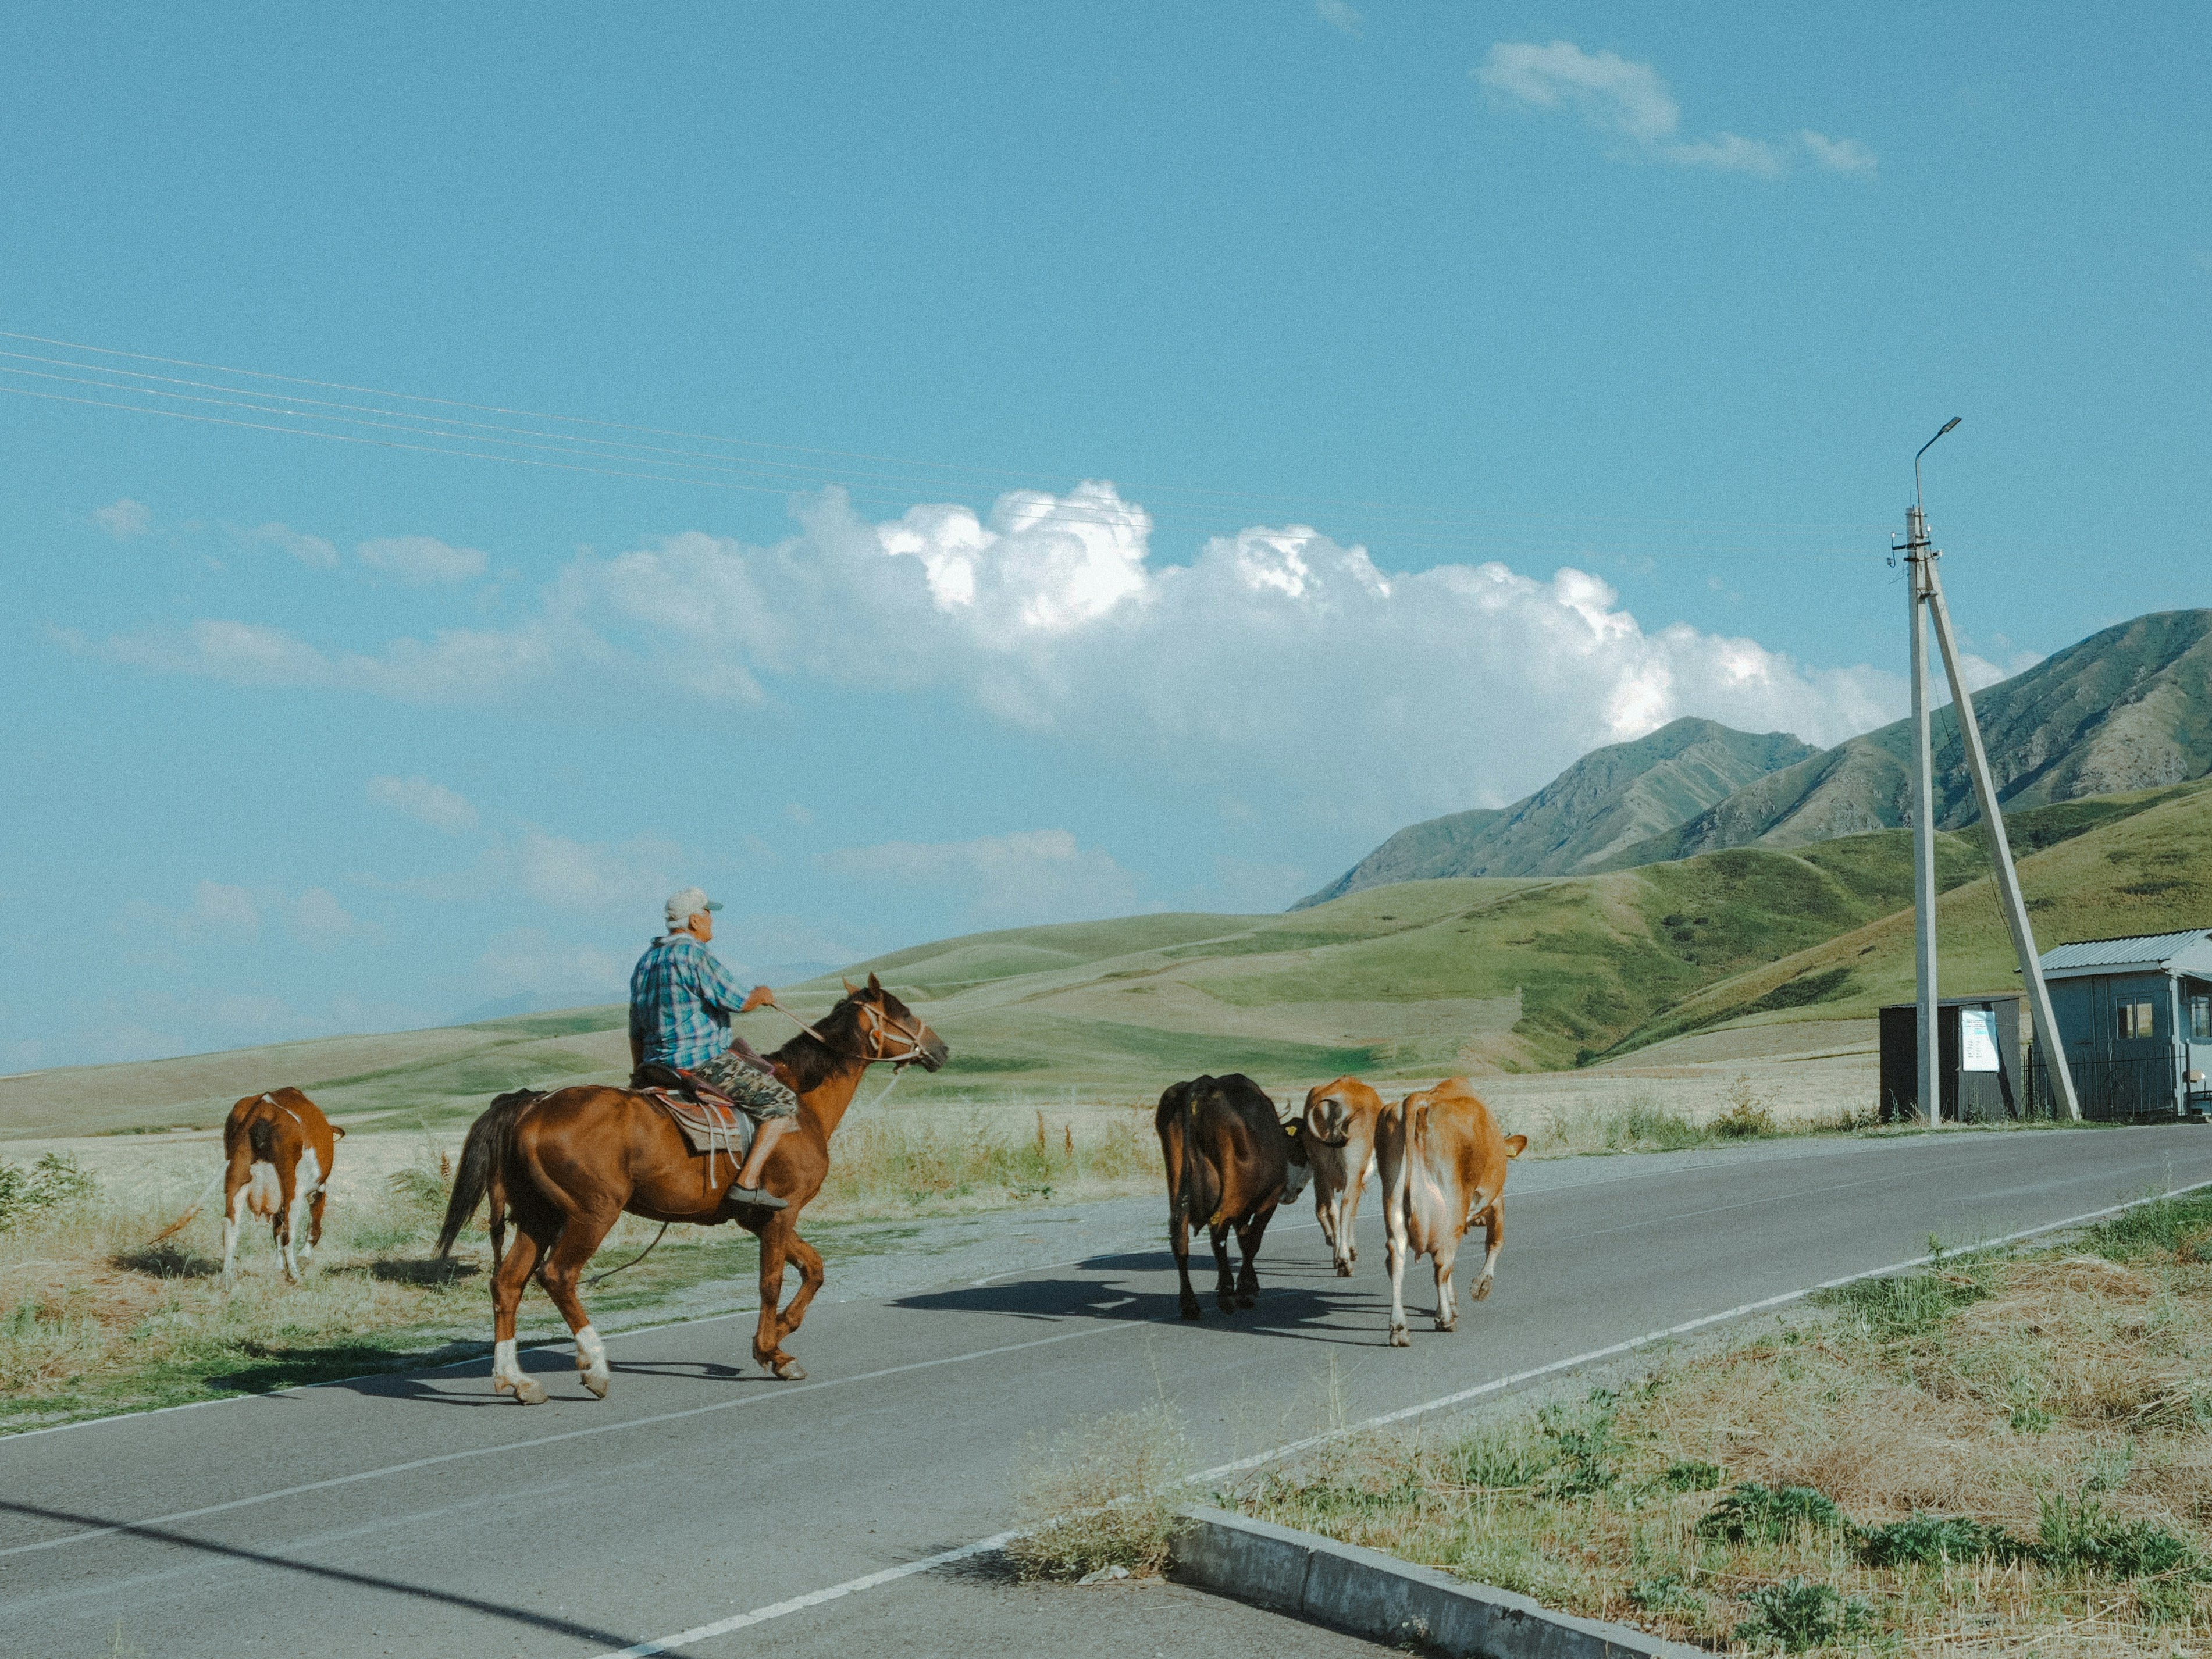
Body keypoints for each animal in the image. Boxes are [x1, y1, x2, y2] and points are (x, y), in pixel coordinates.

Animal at [221, 1087, 344, 1287]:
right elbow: (313, 1229)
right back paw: (295, 1276)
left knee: (230, 1229)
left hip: (236, 1179)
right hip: (293, 1190)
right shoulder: (318, 1190)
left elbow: (276, 1231)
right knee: (289, 1233)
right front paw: (304, 1257)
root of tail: (265, 1105)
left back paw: (226, 1280)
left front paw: (278, 1267)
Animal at [1156, 1074, 1311, 1320]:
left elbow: (1243, 1237)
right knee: (1218, 1230)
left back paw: (1189, 1304)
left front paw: (1251, 1284)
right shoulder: (1267, 1201)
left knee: (1180, 1235)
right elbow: (1252, 1242)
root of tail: (1203, 1085)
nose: (1295, 1190)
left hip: (1178, 1181)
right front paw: (1245, 1289)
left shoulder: (1243, 1209)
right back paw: (1226, 1294)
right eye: (1302, 1149)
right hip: (1231, 1196)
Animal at [1301, 1075, 1385, 1278]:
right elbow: (1353, 1211)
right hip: (1353, 1172)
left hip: (1322, 1173)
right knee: (1346, 1206)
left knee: (1332, 1210)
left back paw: (1339, 1257)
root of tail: (1335, 1102)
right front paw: (1352, 1250)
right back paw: (1345, 1262)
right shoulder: (1359, 1177)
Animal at [1377, 1077, 1525, 1346]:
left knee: (1396, 1258)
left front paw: (1450, 1303)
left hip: (1392, 1200)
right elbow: (1496, 1242)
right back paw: (1445, 1321)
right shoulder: (1496, 1199)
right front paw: (1480, 1287)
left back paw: (1399, 1329)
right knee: (1442, 1261)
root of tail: (1421, 1099)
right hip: (1453, 1206)